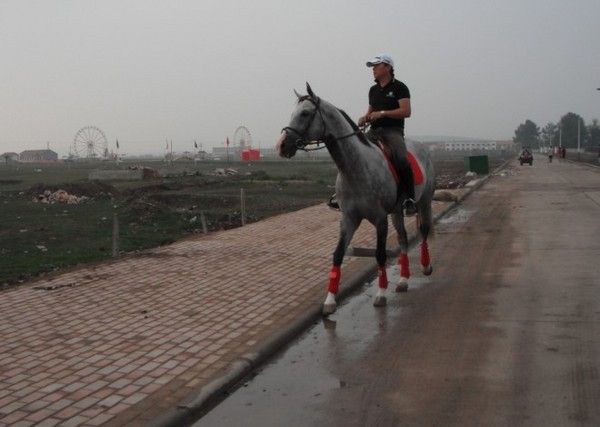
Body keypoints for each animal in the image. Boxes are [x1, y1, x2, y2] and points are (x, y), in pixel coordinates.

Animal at [274, 84, 434, 318]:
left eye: (305, 113)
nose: (282, 145)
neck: (356, 167)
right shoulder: (348, 219)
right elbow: (338, 255)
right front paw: (330, 300)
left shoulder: (380, 219)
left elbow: (379, 255)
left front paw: (381, 294)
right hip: (397, 212)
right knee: (404, 239)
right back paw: (404, 280)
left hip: (424, 202)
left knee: (423, 231)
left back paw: (425, 266)